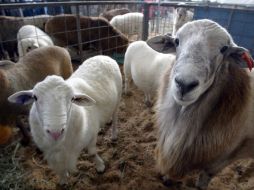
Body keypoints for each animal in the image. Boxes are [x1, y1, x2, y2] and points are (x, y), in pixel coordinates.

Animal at [7, 54, 122, 184]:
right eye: (35, 97)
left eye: (72, 98)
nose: (55, 132)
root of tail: (102, 56)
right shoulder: (51, 151)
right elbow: (59, 167)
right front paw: (62, 179)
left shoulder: (91, 135)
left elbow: (92, 153)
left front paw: (100, 167)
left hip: (118, 98)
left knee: (115, 116)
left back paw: (114, 134)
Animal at [146, 18, 254, 189]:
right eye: (177, 41)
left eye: (224, 49)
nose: (184, 84)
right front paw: (167, 179)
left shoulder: (218, 162)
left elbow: (202, 182)